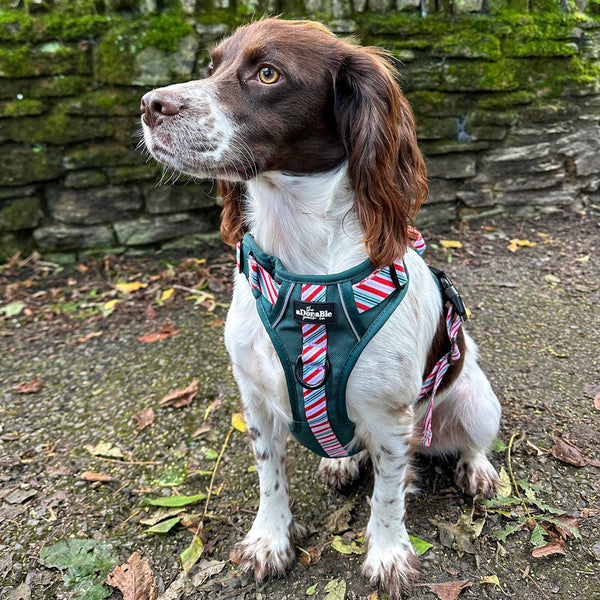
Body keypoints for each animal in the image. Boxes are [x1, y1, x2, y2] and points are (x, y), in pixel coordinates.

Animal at [142, 16, 502, 596]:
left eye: (268, 73)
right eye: (213, 65)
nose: (150, 104)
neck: (305, 280)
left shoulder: (391, 418)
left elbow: (387, 496)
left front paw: (388, 555)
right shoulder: (255, 400)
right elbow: (270, 479)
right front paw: (270, 542)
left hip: (475, 400)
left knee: (469, 443)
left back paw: (478, 470)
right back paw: (343, 462)